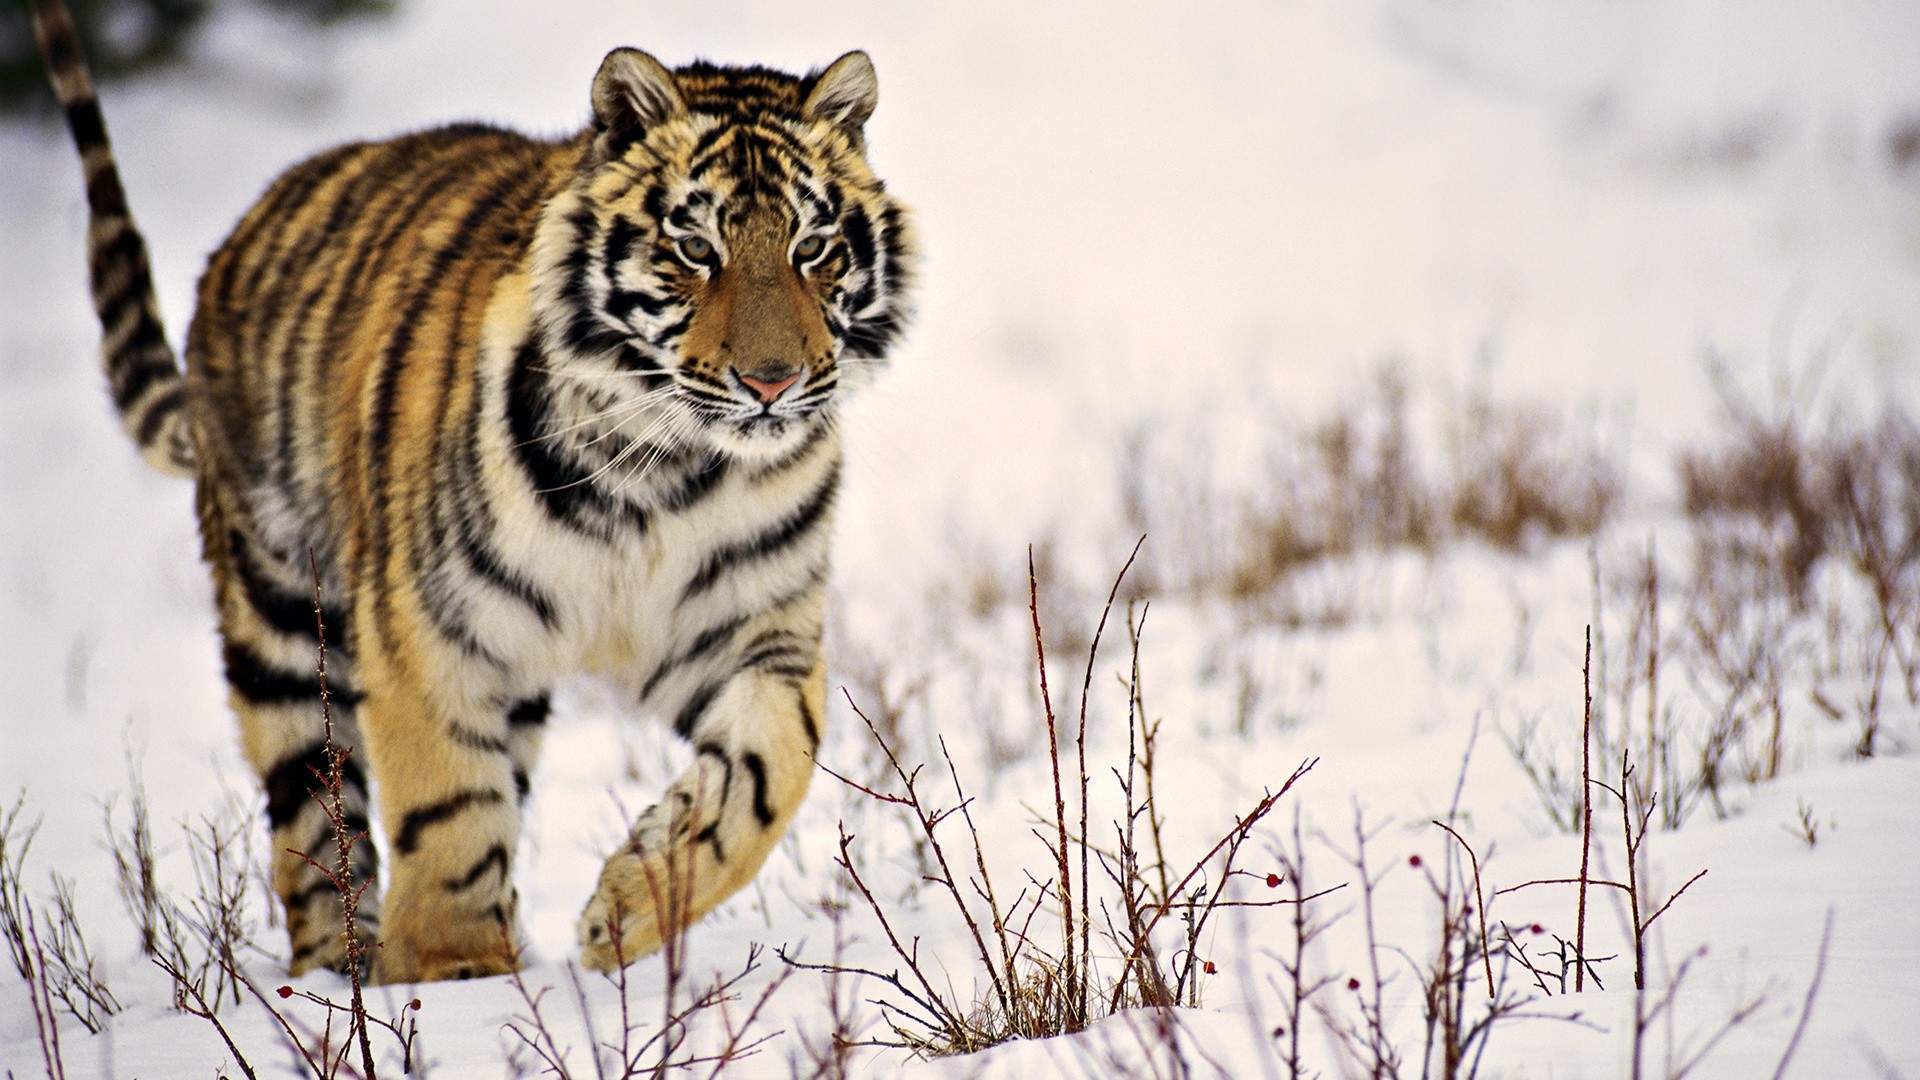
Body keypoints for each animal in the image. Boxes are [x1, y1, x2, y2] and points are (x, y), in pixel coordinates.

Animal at [29, 0, 914, 983]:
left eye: (813, 248)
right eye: (695, 249)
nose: (771, 382)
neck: (665, 471)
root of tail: (247, 229)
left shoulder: (753, 629)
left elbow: (770, 770)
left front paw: (627, 910)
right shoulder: (430, 628)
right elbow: (449, 807)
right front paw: (458, 975)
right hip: (282, 624)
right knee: (313, 826)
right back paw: (339, 976)